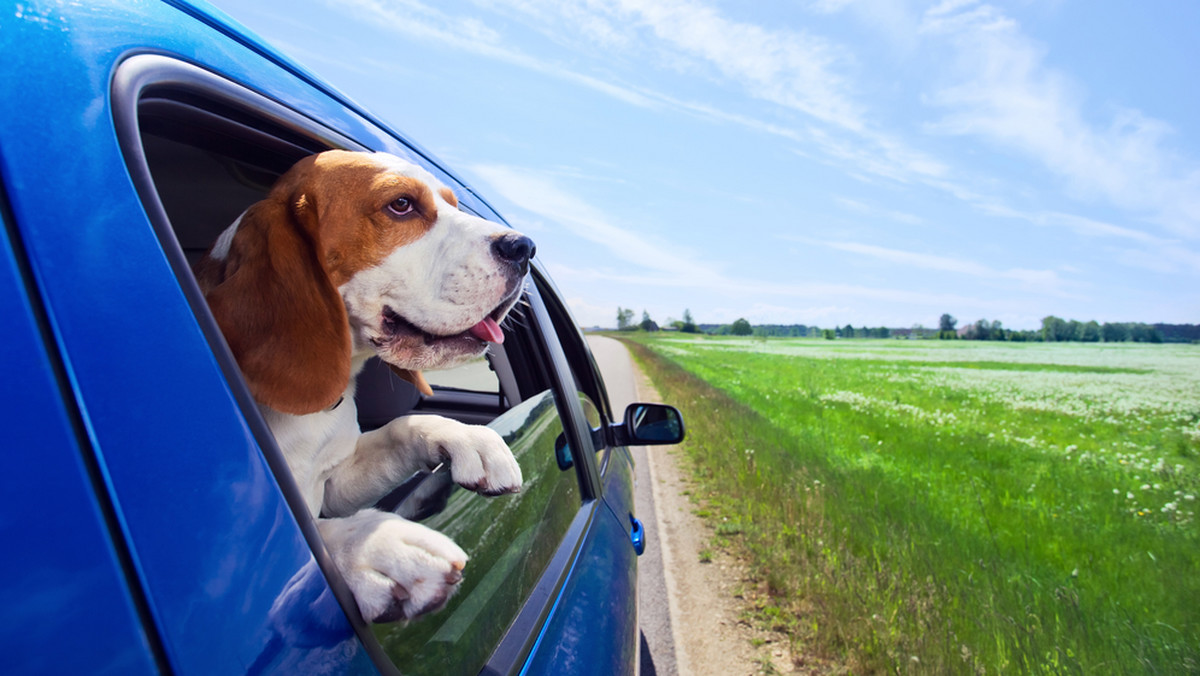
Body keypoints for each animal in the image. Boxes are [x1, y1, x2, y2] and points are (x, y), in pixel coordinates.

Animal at [194, 150, 532, 629]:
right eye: (401, 205)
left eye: (452, 203)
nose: (524, 247)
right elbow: (317, 536)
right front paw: (376, 545)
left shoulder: (336, 481)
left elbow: (401, 428)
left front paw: (469, 438)